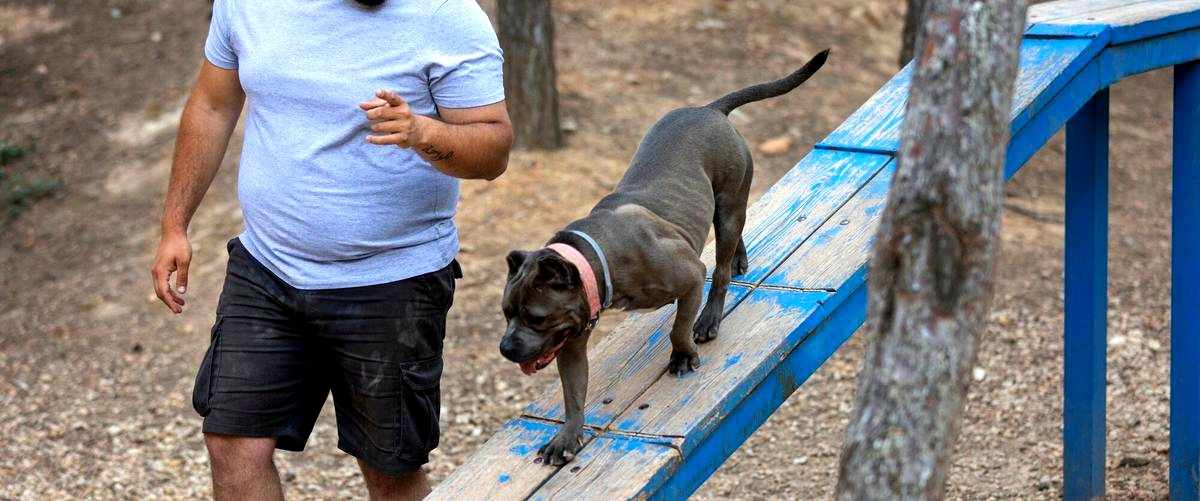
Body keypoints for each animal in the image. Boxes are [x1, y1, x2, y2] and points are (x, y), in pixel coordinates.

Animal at [496, 50, 825, 465]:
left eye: (536, 317)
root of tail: (709, 109)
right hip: (726, 207)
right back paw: (739, 259)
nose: (506, 348)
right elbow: (574, 393)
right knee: (734, 242)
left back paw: (711, 317)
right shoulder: (570, 343)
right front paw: (567, 436)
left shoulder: (690, 276)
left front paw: (683, 355)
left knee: (720, 271)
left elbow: (678, 327)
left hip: (728, 204)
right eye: (506, 313)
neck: (598, 258)